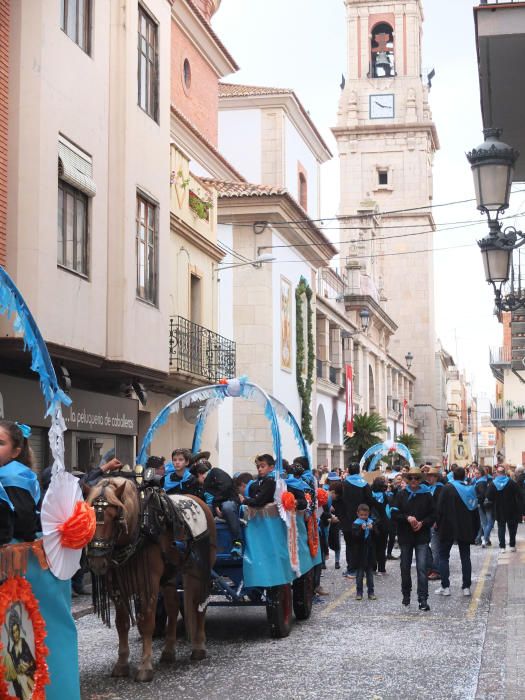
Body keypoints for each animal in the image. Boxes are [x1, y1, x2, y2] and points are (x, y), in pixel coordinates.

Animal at [85, 478, 216, 680]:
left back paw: (199, 647)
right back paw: (169, 651)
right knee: (172, 607)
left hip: (199, 569)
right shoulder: (117, 588)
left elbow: (147, 622)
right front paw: (122, 664)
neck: (139, 529)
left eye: (115, 517)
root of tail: (198, 500)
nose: (97, 560)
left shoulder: (150, 585)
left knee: (199, 603)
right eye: (88, 517)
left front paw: (145, 667)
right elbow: (121, 623)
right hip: (170, 574)